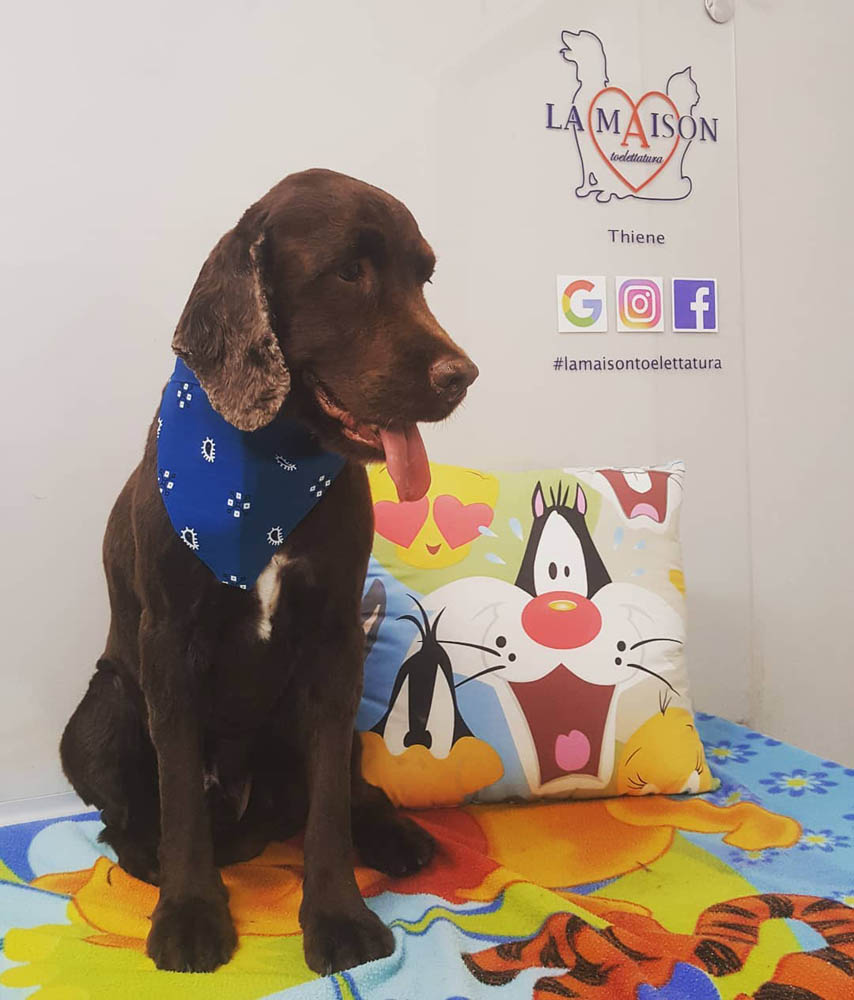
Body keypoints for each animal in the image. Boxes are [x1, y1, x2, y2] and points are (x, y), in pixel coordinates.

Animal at [59, 168, 478, 975]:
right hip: (102, 710)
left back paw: (393, 834)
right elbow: (180, 792)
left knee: (344, 787)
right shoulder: (168, 642)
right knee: (124, 816)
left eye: (424, 277)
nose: (462, 375)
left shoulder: (336, 638)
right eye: (349, 271)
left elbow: (329, 803)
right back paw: (149, 860)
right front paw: (190, 912)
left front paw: (339, 916)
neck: (271, 458)